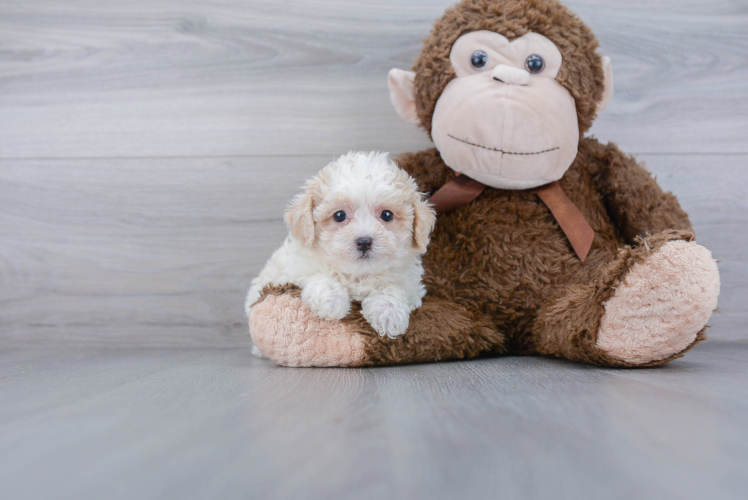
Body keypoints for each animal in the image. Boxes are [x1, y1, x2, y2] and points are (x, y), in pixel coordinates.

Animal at [245, 151, 436, 340]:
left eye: (387, 215)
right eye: (339, 215)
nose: (364, 241)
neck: (357, 275)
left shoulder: (411, 285)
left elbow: (394, 288)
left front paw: (388, 312)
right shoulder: (292, 271)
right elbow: (318, 274)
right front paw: (330, 299)